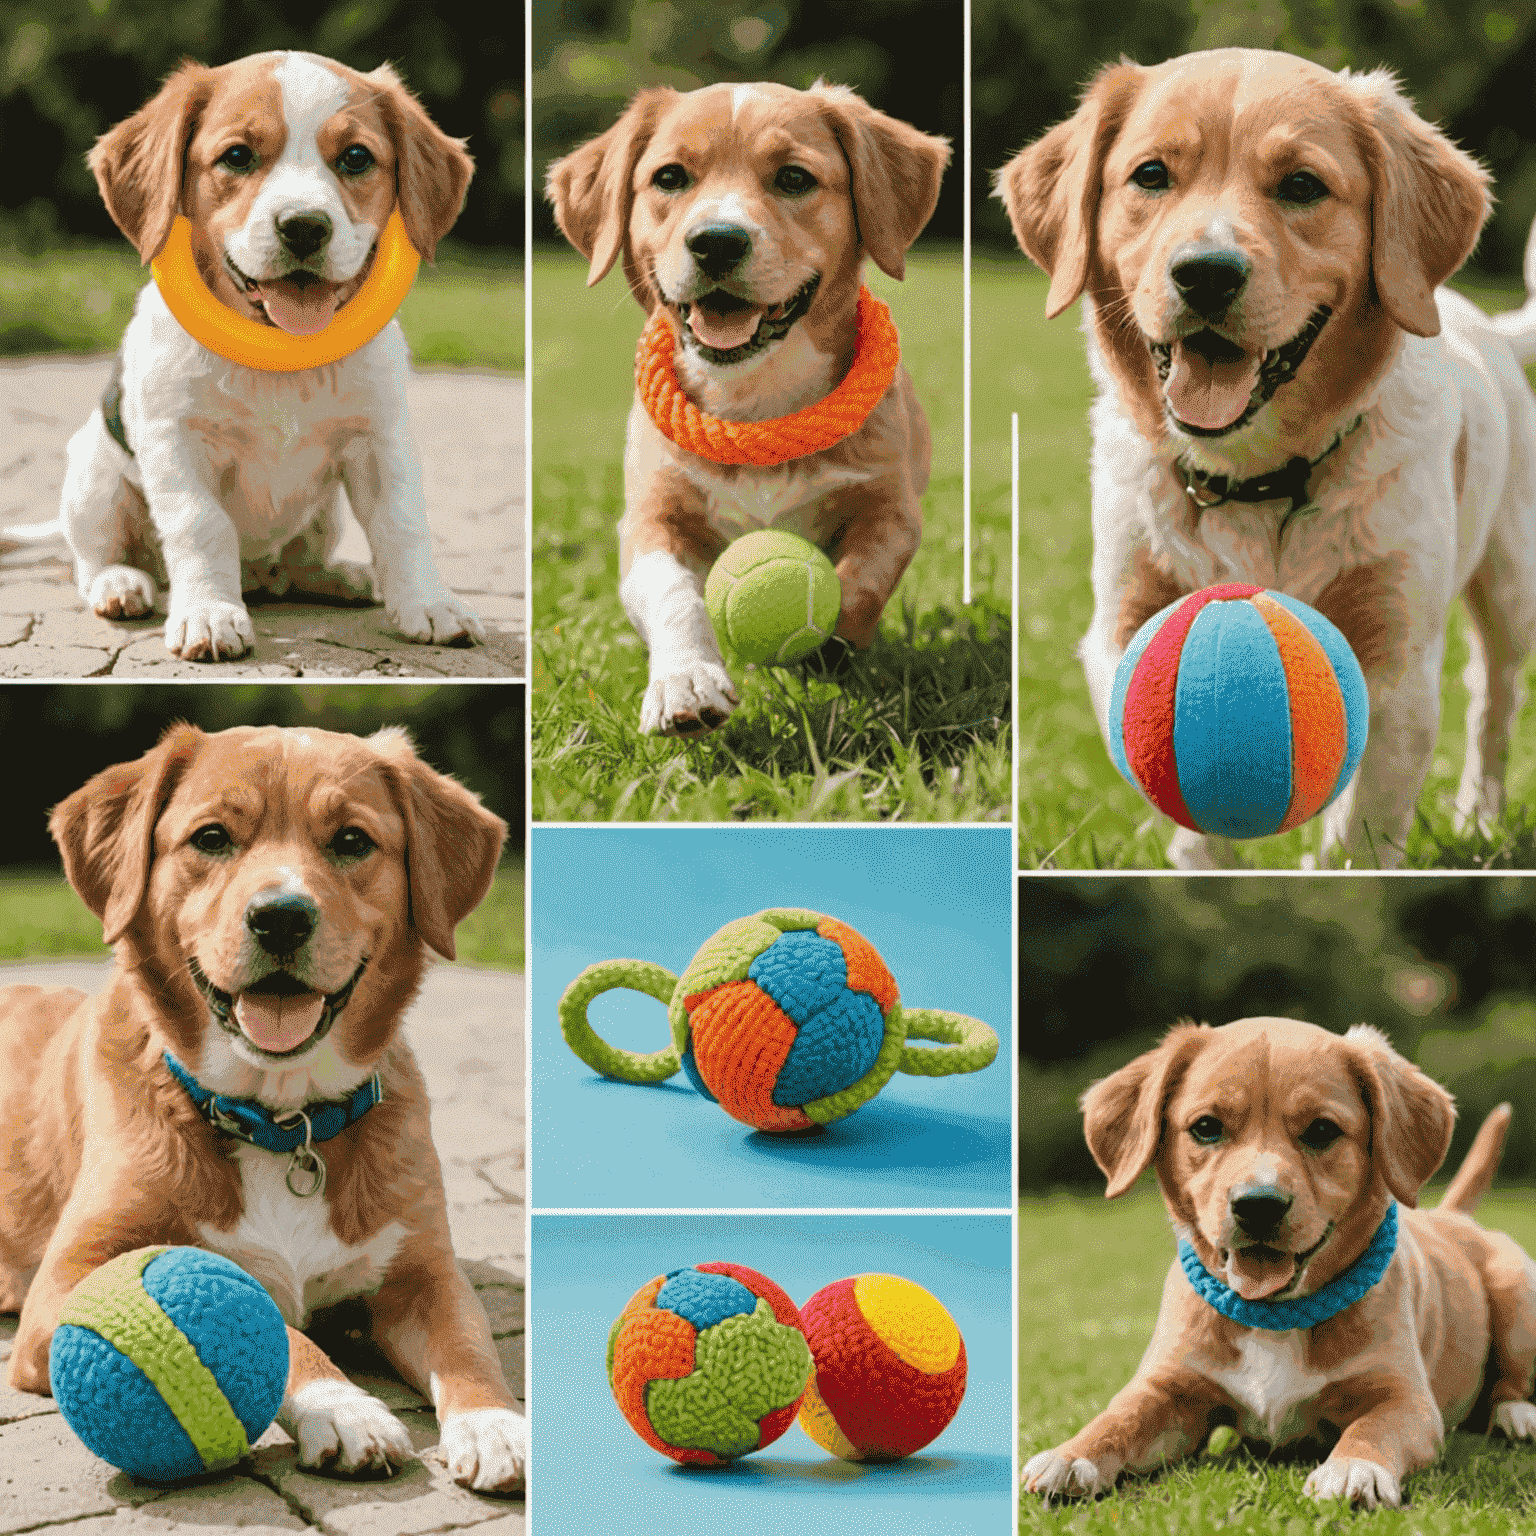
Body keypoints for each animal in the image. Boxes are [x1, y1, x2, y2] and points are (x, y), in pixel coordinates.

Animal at [0, 724, 525, 1492]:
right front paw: (344, 1406)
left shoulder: (424, 1273)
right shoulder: (67, 1283)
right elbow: (278, 1329)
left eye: (351, 840)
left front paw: (494, 1424)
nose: (281, 917)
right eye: (212, 837)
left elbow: (468, 1346)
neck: (281, 1121)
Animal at [43, 51, 485, 663]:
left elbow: (402, 522)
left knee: (294, 568)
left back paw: (340, 577)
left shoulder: (380, 439)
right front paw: (209, 613)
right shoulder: (176, 440)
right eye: (237, 156)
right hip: (93, 474)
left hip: (324, 513)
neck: (283, 358)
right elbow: (200, 525)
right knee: (94, 562)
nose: (304, 226)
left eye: (356, 158)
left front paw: (428, 603)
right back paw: (122, 584)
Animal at [540, 79, 946, 737]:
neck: (756, 401)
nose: (716, 241)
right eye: (670, 177)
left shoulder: (890, 509)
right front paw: (685, 681)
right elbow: (673, 595)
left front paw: (828, 648)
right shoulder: (651, 517)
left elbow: (859, 581)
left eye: (794, 178)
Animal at [995, 51, 1536, 866]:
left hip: (1510, 591)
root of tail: (1494, 328)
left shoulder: (1398, 658)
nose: (1206, 272)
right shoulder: (1125, 624)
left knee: (1493, 705)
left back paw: (1478, 814)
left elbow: (1361, 833)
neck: (1256, 481)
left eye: (1302, 185)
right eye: (1151, 175)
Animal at [1019, 1019, 1536, 1511]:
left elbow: (1372, 1431)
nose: (1258, 1205)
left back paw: (1516, 1415)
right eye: (1205, 1126)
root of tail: (1453, 1215)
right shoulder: (1169, 1390)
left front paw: (1353, 1468)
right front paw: (1071, 1454)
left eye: (1323, 1130)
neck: (1274, 1315)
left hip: (1517, 1296)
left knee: (1511, 1382)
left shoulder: (1406, 1400)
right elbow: (1119, 1418)